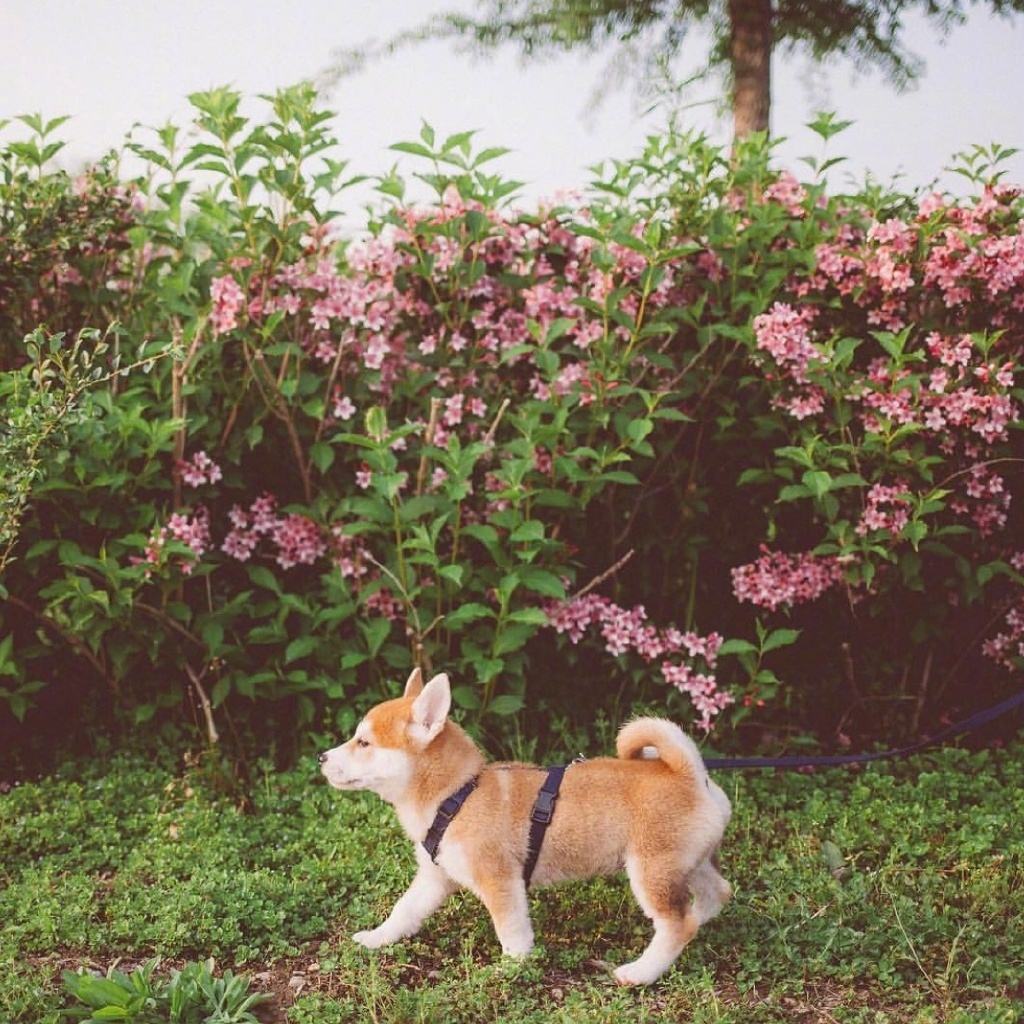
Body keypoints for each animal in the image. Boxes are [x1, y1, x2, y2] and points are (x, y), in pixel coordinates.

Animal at [317, 667, 729, 987]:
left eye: (363, 742)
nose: (321, 757)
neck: (457, 795)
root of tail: (691, 773)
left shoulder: (500, 881)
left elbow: (512, 932)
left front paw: (511, 969)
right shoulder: (434, 878)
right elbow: (403, 911)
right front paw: (377, 938)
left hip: (650, 872)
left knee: (677, 924)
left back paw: (641, 972)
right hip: (686, 866)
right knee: (716, 895)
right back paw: (700, 922)